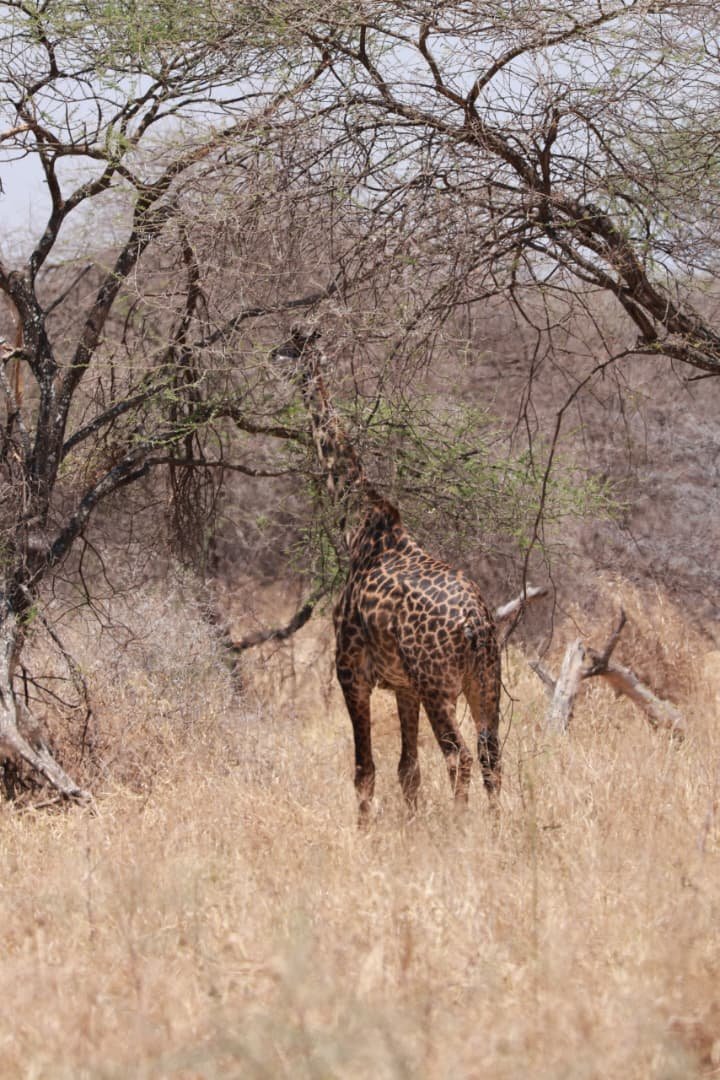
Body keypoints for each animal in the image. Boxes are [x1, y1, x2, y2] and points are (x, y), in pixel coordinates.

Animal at [273, 328, 501, 824]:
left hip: (440, 684)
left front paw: (364, 832)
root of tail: (475, 624)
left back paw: (460, 827)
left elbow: (365, 770)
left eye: (291, 346)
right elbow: (407, 770)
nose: (270, 356)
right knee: (490, 754)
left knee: (458, 756)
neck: (356, 526)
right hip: (484, 681)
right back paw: (496, 828)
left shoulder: (350, 672)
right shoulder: (403, 687)